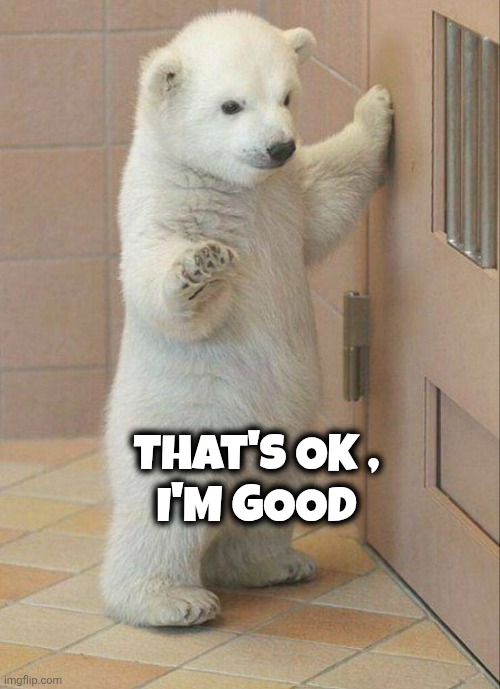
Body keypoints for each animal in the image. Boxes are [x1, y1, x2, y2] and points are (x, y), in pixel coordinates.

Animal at [102, 10, 393, 627]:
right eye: (230, 105)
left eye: (286, 96)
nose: (279, 146)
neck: (229, 187)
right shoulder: (162, 204)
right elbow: (155, 284)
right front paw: (200, 266)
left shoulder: (284, 199)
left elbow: (328, 192)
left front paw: (376, 106)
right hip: (185, 420)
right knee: (160, 521)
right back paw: (169, 600)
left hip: (289, 427)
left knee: (266, 505)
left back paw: (274, 564)